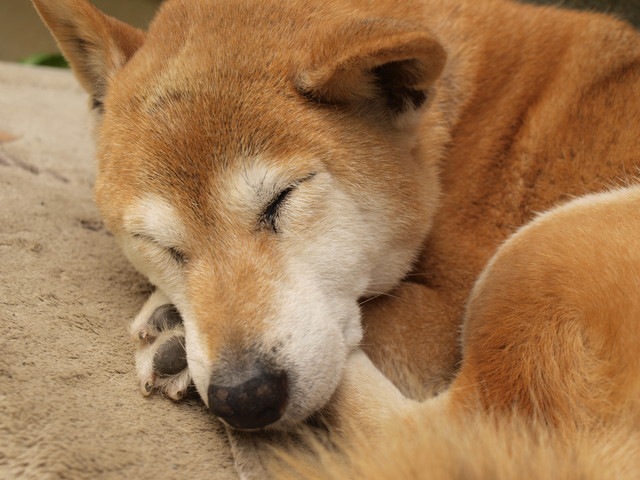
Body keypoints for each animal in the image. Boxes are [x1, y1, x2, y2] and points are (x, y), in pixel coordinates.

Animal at [35, 0, 640, 468]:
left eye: (283, 199)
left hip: (545, 250)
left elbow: (375, 320)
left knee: (429, 432)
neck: (453, 124)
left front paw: (174, 334)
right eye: (158, 243)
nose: (245, 397)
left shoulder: (444, 312)